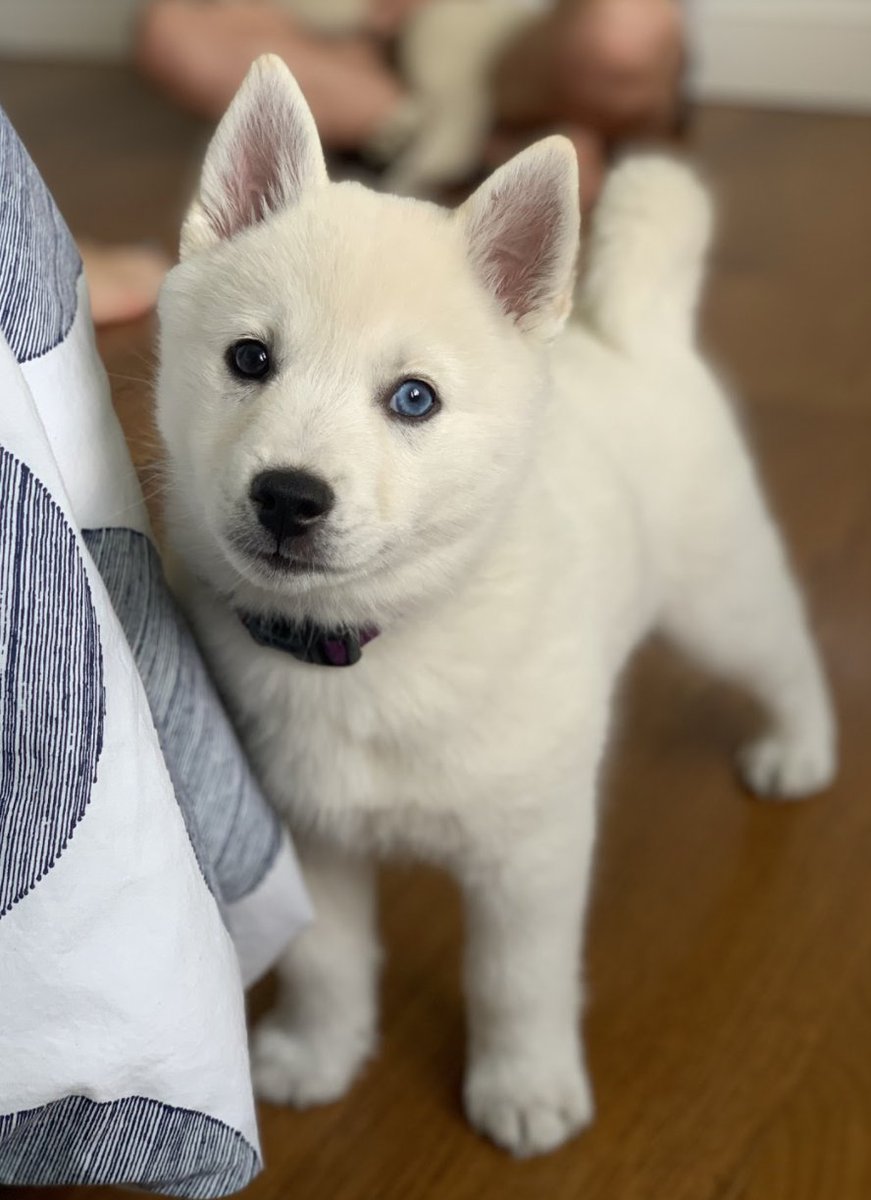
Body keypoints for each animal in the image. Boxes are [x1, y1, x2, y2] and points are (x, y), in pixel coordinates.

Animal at [154, 54, 839, 1152]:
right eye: (249, 359)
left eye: (414, 399)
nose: (288, 496)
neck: (369, 648)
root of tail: (638, 337)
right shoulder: (314, 838)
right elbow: (326, 962)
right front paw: (319, 1052)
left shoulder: (531, 854)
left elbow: (517, 981)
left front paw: (524, 1086)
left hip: (717, 598)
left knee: (786, 654)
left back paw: (800, 749)